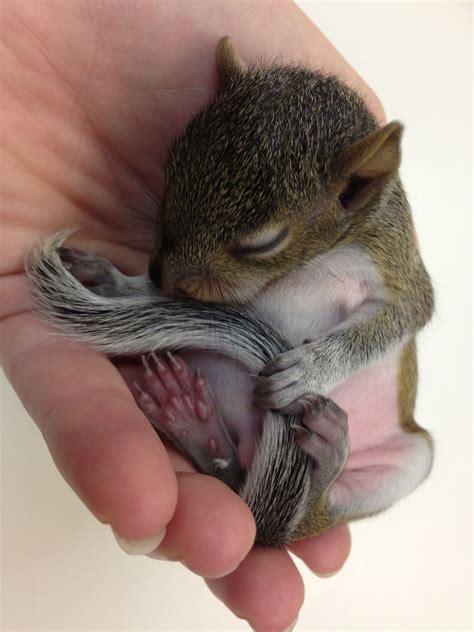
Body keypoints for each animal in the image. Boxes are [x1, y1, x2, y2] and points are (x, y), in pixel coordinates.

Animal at [25, 37, 434, 544]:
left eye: (262, 243)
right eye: (172, 170)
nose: (158, 276)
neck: (316, 257)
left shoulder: (394, 264)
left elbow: (396, 321)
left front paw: (305, 369)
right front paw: (119, 282)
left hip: (409, 460)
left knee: (308, 520)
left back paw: (325, 456)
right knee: (230, 476)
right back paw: (195, 423)